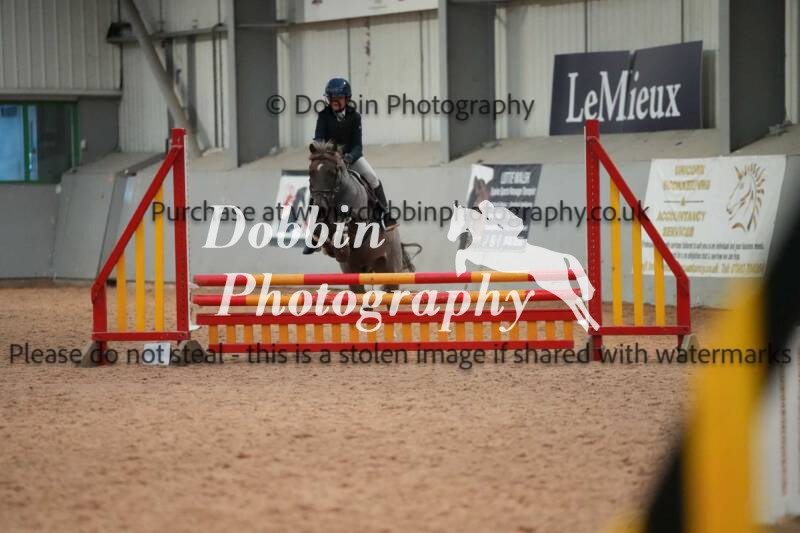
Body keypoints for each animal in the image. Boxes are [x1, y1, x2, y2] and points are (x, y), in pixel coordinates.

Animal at [307, 141, 420, 292]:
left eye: (332, 172)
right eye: (311, 172)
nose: (320, 207)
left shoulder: (360, 223)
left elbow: (346, 225)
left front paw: (342, 248)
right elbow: (319, 229)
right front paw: (331, 248)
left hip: (391, 270)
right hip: (353, 274)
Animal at [446, 201, 599, 333]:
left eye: (456, 221)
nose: (450, 238)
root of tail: (560, 256)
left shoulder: (479, 254)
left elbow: (462, 253)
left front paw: (460, 269)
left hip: (552, 282)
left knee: (574, 298)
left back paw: (588, 323)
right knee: (574, 298)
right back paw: (589, 323)